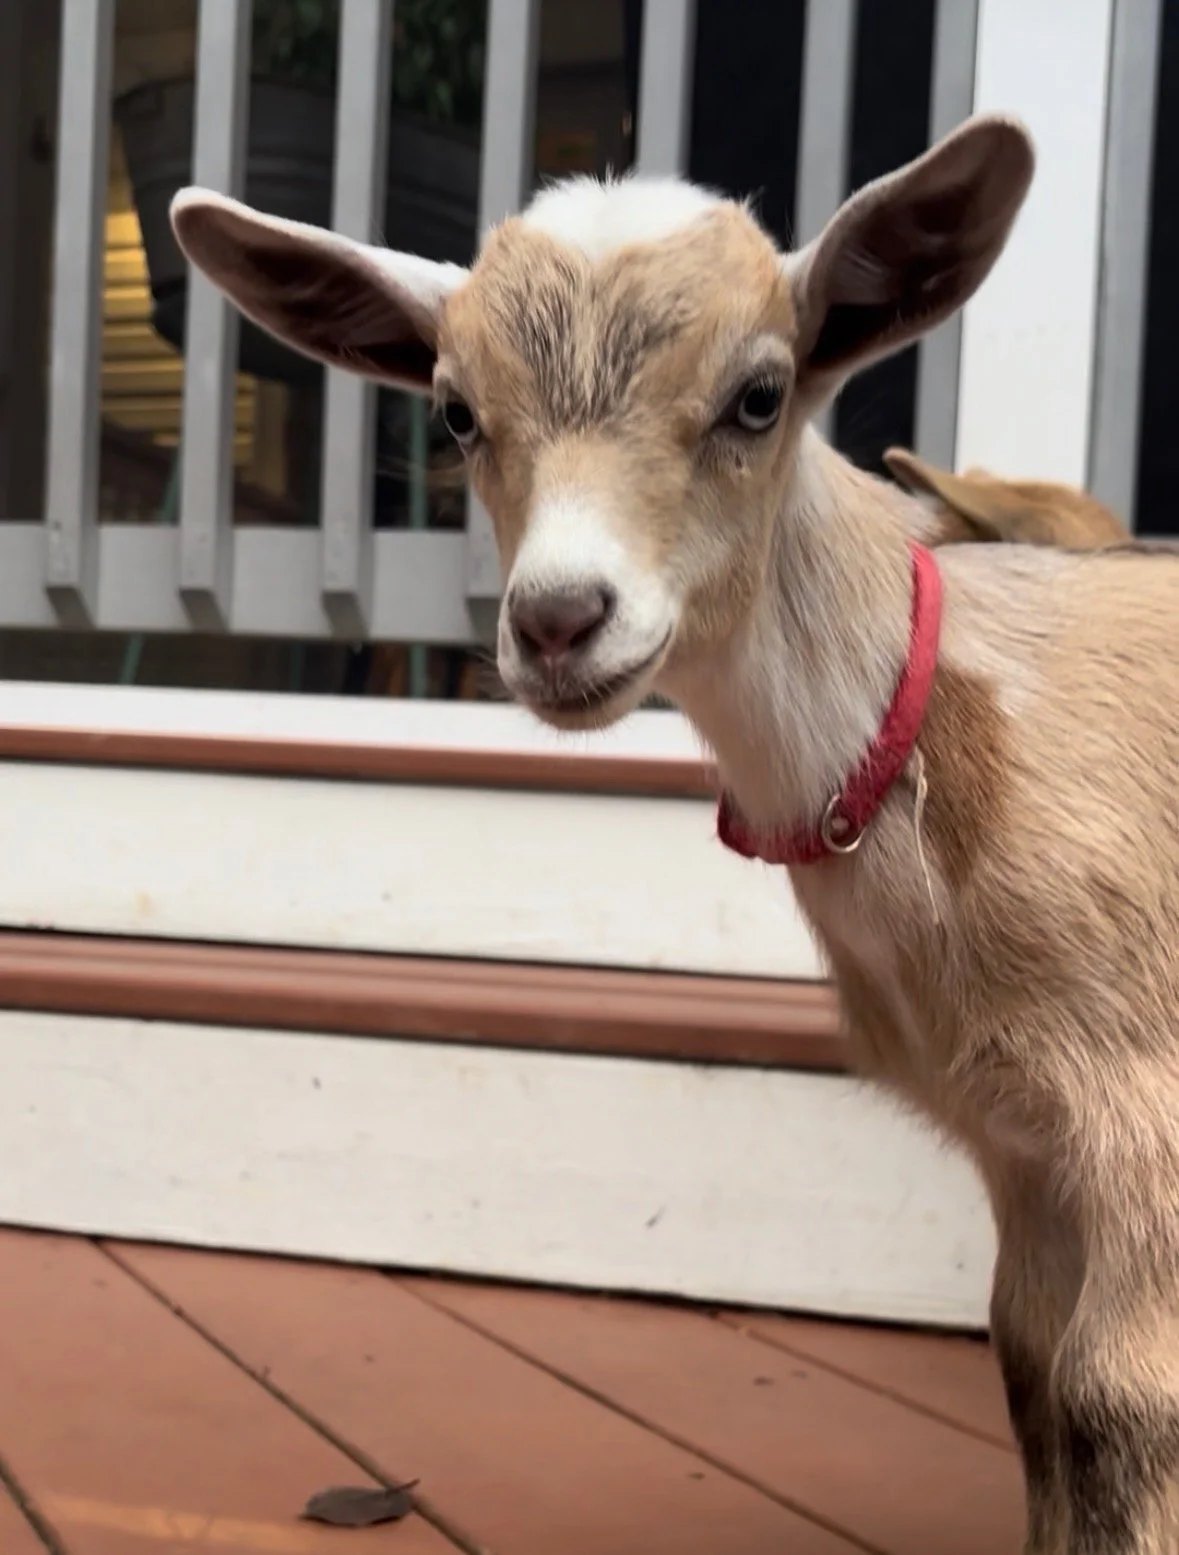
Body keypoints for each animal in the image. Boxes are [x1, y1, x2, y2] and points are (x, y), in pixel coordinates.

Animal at [170, 115, 1179, 1553]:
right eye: (456, 410)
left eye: (760, 394)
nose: (557, 619)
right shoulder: (1025, 1143)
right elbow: (1039, 1382)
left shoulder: (1141, 1108)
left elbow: (1118, 1398)